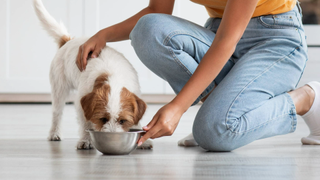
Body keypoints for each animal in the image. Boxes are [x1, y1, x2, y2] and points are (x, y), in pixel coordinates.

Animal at [32, 0, 152, 149]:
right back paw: (54, 133)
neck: (113, 77)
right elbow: (86, 123)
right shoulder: (81, 103)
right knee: (56, 113)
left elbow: (137, 119)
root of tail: (68, 40)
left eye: (122, 121)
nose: (113, 138)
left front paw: (143, 140)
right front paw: (86, 140)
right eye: (103, 119)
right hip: (59, 89)